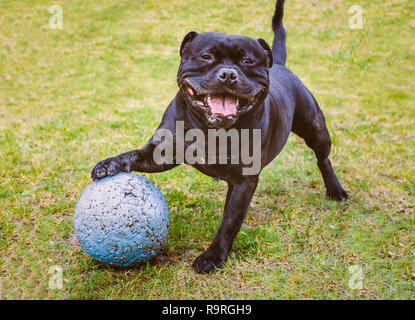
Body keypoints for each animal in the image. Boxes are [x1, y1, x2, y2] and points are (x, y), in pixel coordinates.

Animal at [91, 0, 348, 276]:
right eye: (206, 57)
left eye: (247, 61)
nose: (228, 74)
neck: (211, 129)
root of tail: (279, 65)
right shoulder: (161, 153)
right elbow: (134, 155)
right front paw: (109, 164)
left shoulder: (244, 181)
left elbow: (229, 221)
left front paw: (213, 256)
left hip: (316, 129)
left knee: (323, 159)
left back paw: (335, 190)